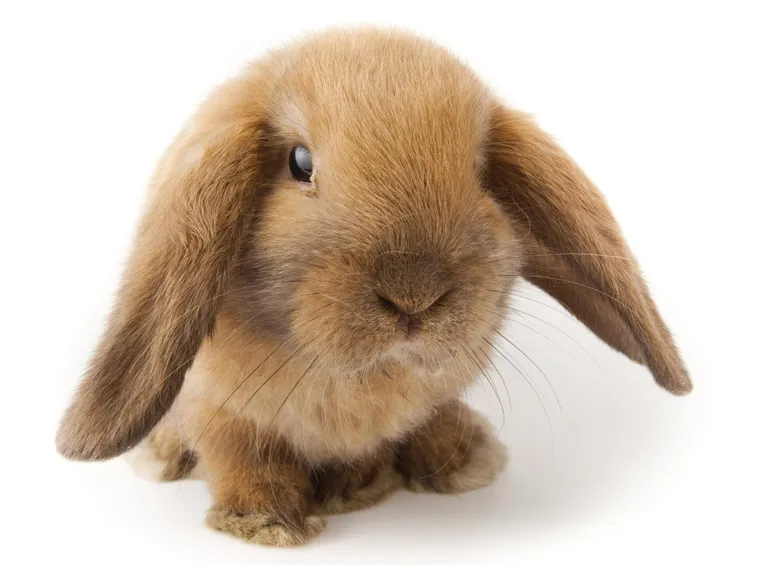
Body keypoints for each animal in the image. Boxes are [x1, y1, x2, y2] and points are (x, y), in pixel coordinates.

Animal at [55, 28, 691, 547]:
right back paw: (163, 457)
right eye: (300, 163)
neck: (355, 377)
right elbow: (243, 455)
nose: (414, 295)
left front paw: (395, 476)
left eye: (482, 172)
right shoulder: (221, 408)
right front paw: (266, 522)